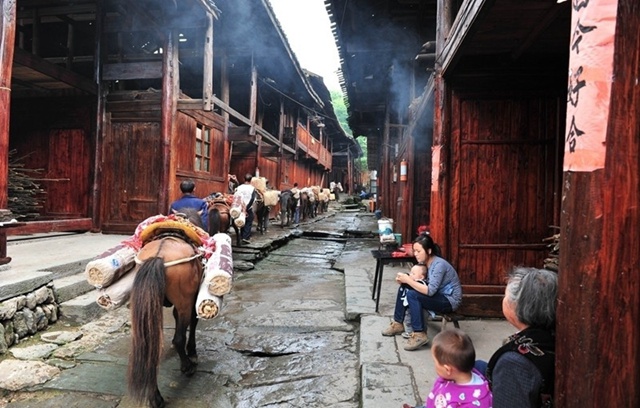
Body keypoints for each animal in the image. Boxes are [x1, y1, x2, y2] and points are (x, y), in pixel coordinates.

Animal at [126, 210, 204, 408]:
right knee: (178, 338)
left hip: (149, 305)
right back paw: (187, 367)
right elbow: (192, 323)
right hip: (184, 303)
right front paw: (192, 352)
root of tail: (158, 257)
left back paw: (155, 398)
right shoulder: (191, 300)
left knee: (150, 345)